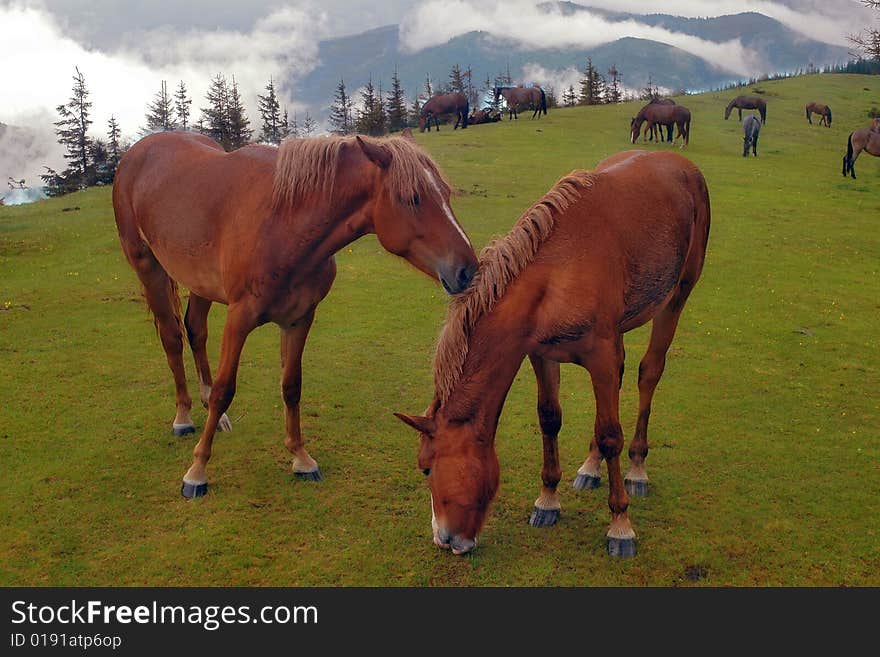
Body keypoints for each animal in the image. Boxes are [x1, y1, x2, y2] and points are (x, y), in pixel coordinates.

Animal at [115, 129, 482, 498]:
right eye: (412, 198)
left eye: (445, 193)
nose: (468, 271)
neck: (283, 224)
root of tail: (138, 151)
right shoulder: (239, 319)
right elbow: (224, 390)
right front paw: (197, 471)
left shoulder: (299, 319)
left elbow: (291, 386)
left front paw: (301, 458)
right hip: (149, 268)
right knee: (172, 338)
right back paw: (184, 418)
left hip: (201, 283)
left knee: (195, 331)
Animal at [396, 151, 712, 556]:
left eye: (426, 467)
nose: (444, 538)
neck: (557, 273)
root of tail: (682, 163)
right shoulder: (542, 354)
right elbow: (550, 419)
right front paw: (547, 501)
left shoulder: (601, 356)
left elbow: (611, 435)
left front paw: (620, 525)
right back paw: (590, 467)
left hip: (677, 297)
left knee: (649, 374)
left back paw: (637, 468)